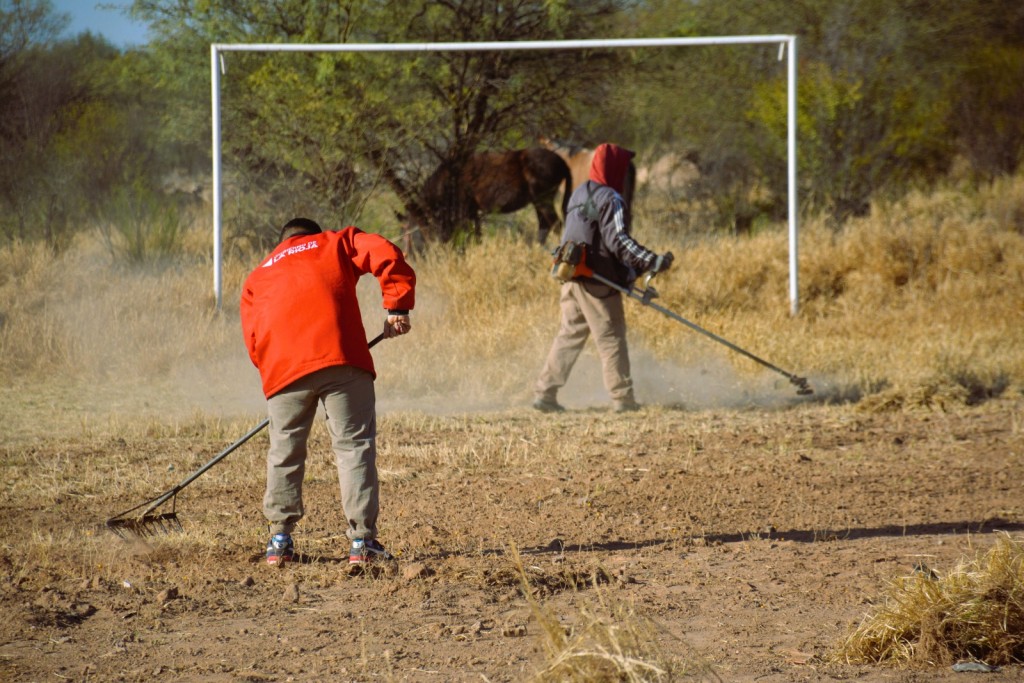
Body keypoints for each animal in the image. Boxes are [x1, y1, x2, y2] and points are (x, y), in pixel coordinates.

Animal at [407, 147, 573, 245]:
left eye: (423, 221)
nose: (433, 243)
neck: (450, 176)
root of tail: (561, 161)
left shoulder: (464, 211)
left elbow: (469, 233)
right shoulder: (472, 211)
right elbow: (477, 234)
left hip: (543, 200)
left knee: (555, 224)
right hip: (538, 202)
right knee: (545, 226)